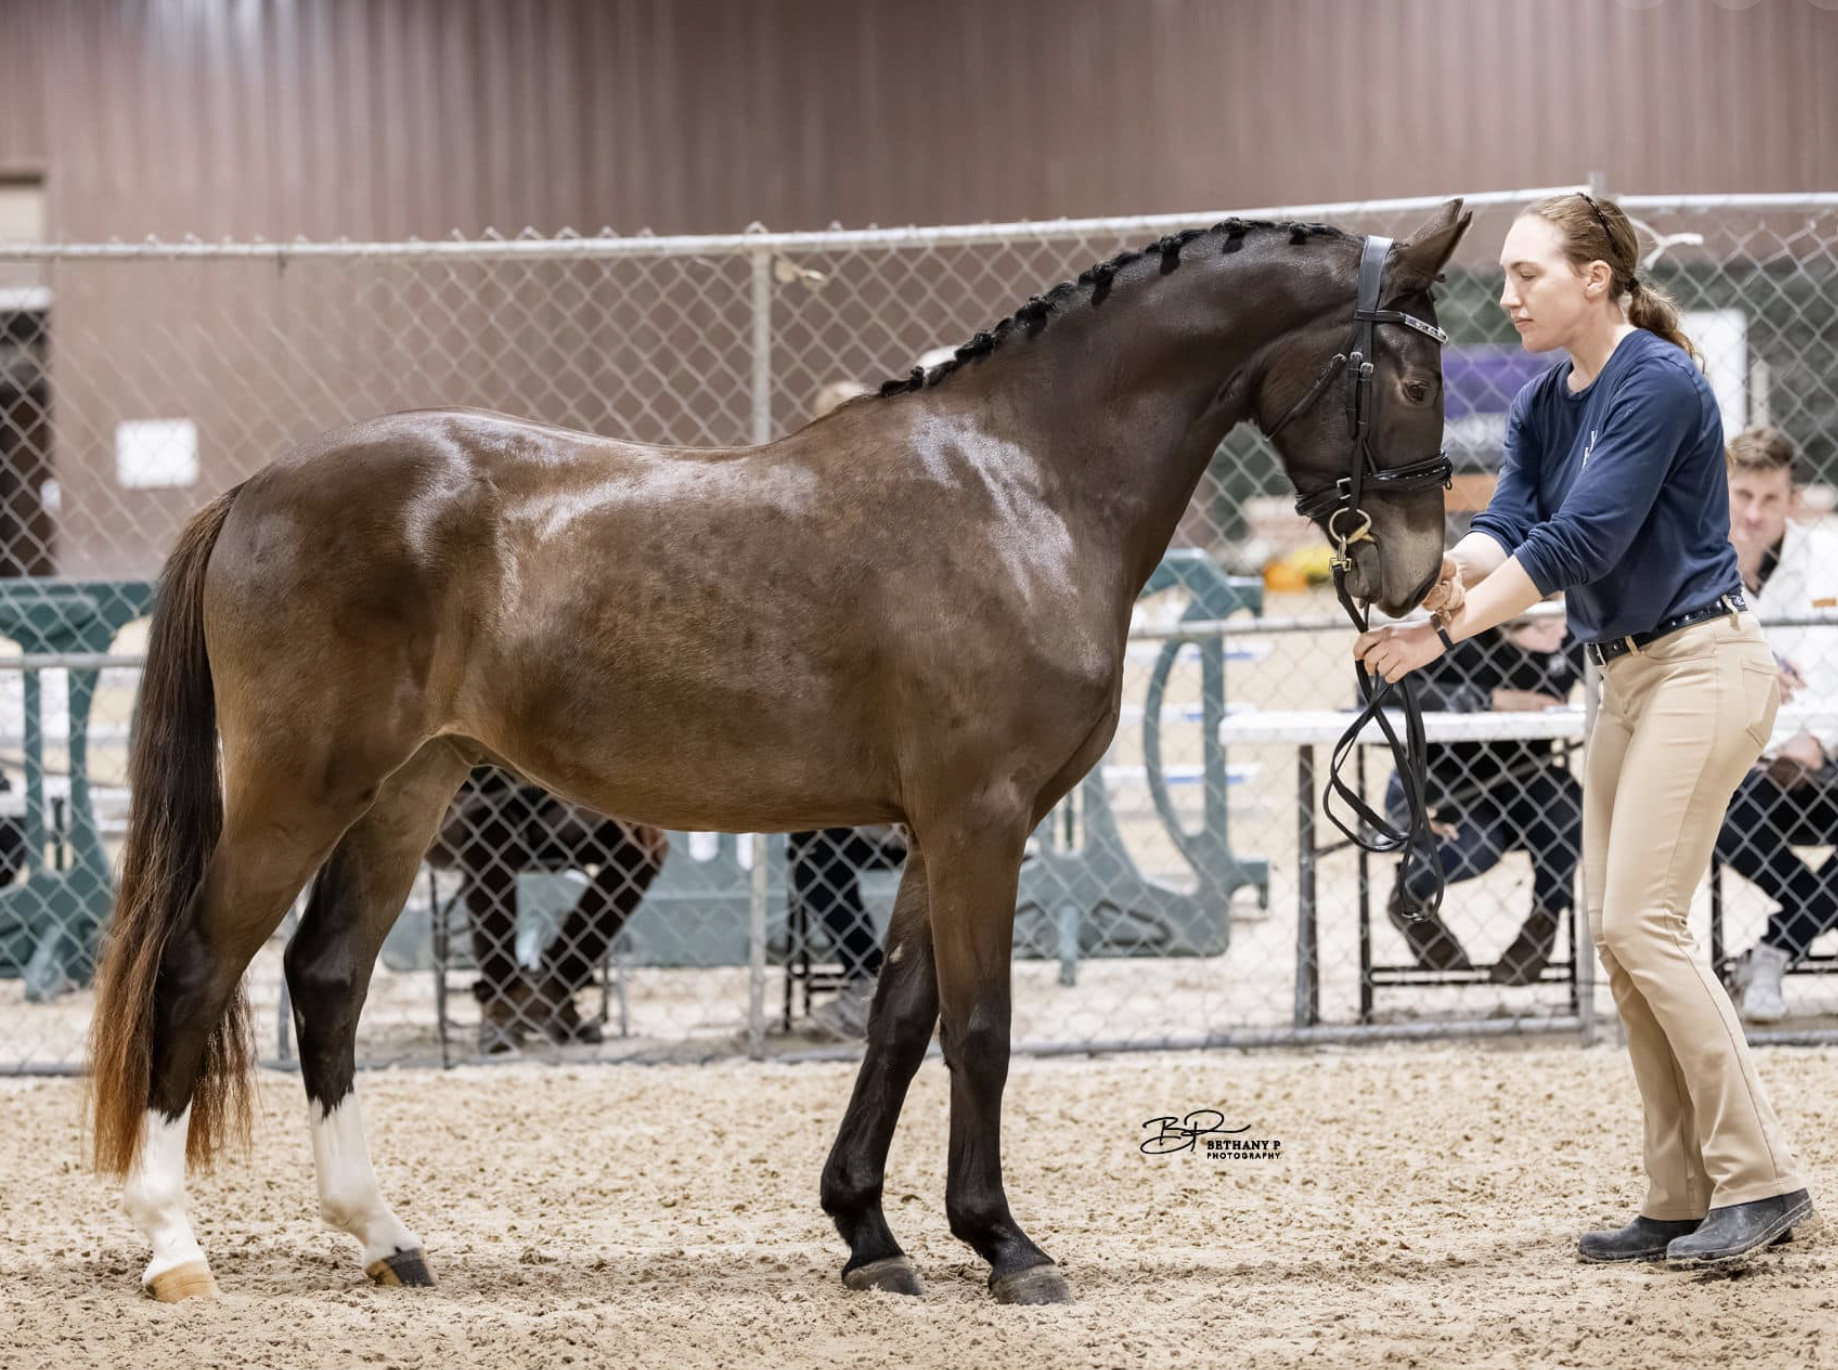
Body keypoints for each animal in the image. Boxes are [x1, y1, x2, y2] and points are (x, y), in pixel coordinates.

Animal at [86, 198, 1472, 1305]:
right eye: (1410, 377)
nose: (1415, 576)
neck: (1021, 482)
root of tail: (257, 488)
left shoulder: (938, 826)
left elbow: (898, 1016)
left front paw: (870, 1233)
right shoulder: (980, 817)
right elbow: (979, 1024)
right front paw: (1005, 1245)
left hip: (402, 790)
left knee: (324, 977)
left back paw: (384, 1235)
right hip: (297, 789)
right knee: (197, 969)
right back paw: (174, 1246)